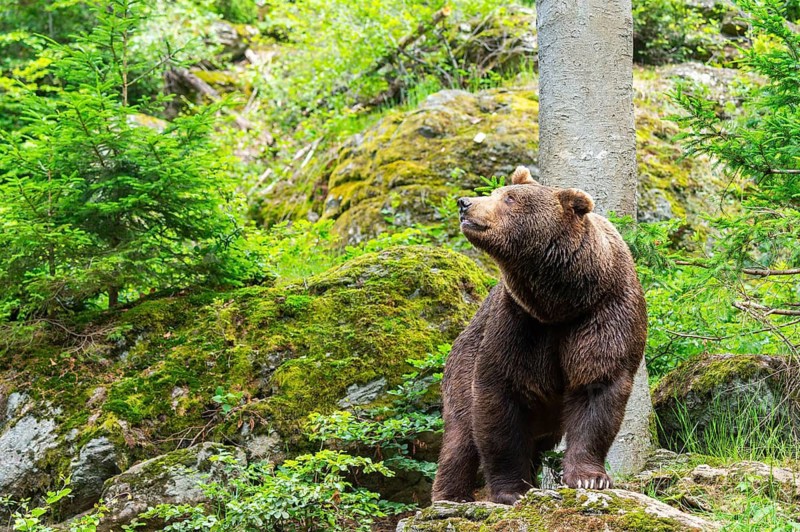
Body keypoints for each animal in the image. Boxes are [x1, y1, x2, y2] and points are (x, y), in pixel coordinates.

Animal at [431, 166, 647, 505]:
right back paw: (450, 496)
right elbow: (498, 399)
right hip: (462, 364)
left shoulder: (605, 313)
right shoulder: (518, 322)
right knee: (461, 436)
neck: (560, 301)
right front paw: (512, 490)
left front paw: (589, 478)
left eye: (509, 198)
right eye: (497, 192)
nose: (465, 203)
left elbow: (597, 390)